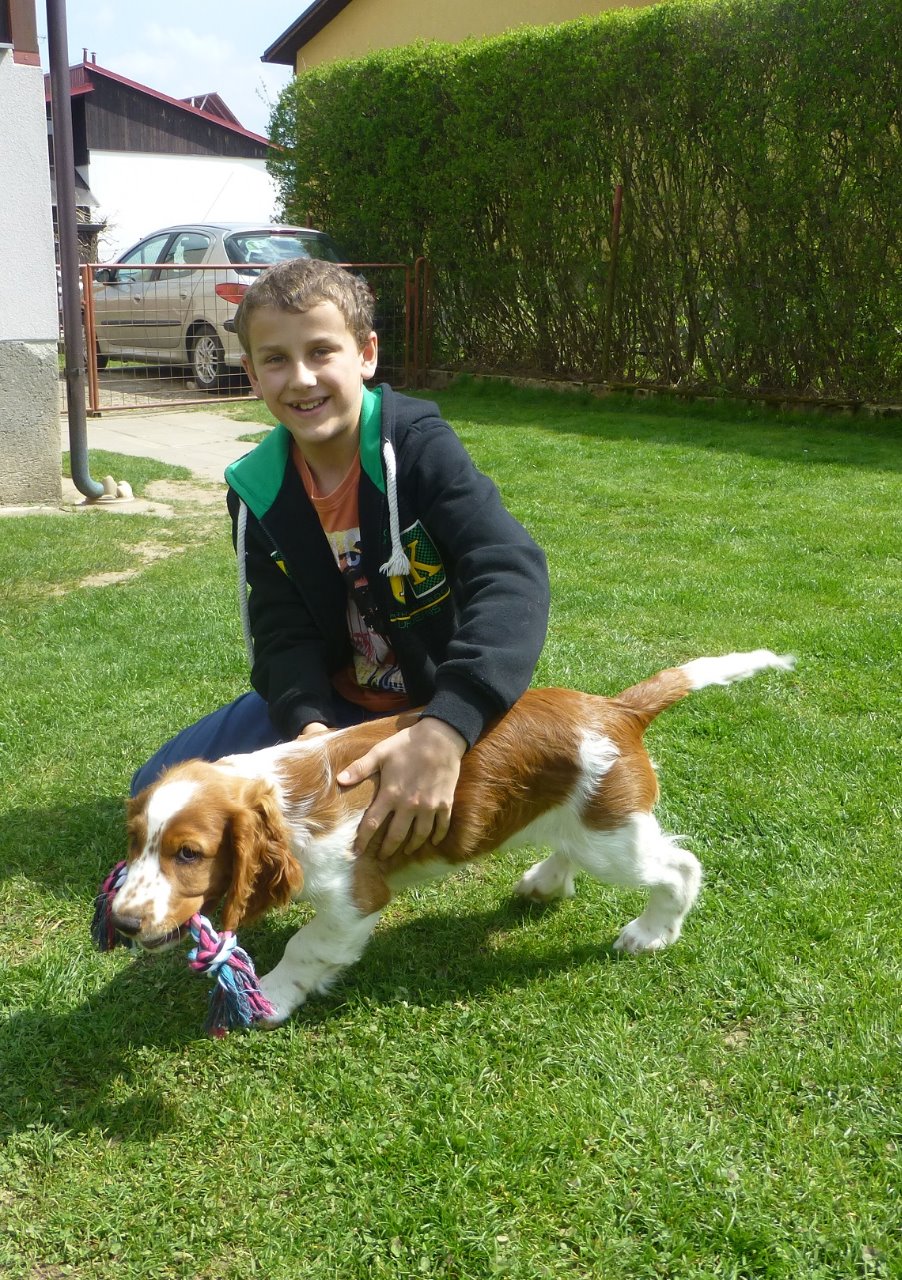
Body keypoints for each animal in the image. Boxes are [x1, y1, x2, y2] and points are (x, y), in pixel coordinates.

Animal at [111, 650, 792, 1026]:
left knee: (679, 866)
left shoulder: (354, 896)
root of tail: (616, 710)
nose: (120, 922)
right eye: (136, 842)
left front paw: (271, 998)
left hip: (613, 836)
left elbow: (308, 946)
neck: (280, 796)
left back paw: (651, 932)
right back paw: (544, 882)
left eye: (190, 854)